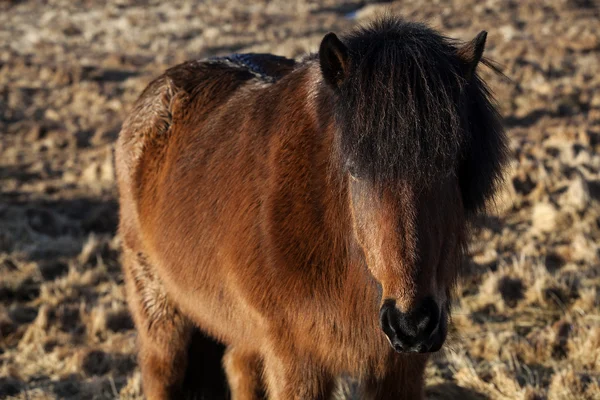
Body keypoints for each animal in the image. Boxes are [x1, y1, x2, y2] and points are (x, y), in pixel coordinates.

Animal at [116, 15, 506, 400]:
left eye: (450, 165)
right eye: (354, 168)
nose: (412, 326)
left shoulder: (399, 368)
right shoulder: (296, 362)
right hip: (160, 317)